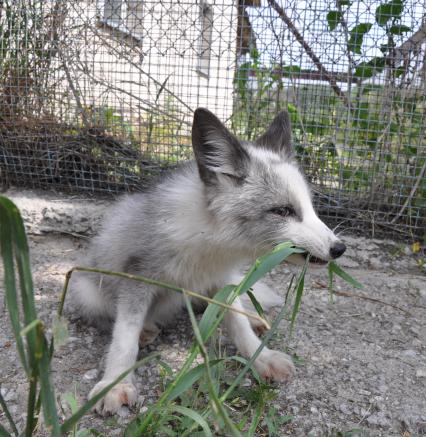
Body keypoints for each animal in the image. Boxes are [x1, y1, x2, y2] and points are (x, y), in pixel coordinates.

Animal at [71, 107, 346, 414]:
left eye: (311, 208)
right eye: (283, 211)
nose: (339, 248)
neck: (209, 239)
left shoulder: (222, 281)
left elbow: (237, 323)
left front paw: (261, 357)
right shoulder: (136, 275)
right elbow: (124, 335)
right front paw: (115, 383)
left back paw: (254, 316)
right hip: (84, 290)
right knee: (106, 316)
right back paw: (146, 329)